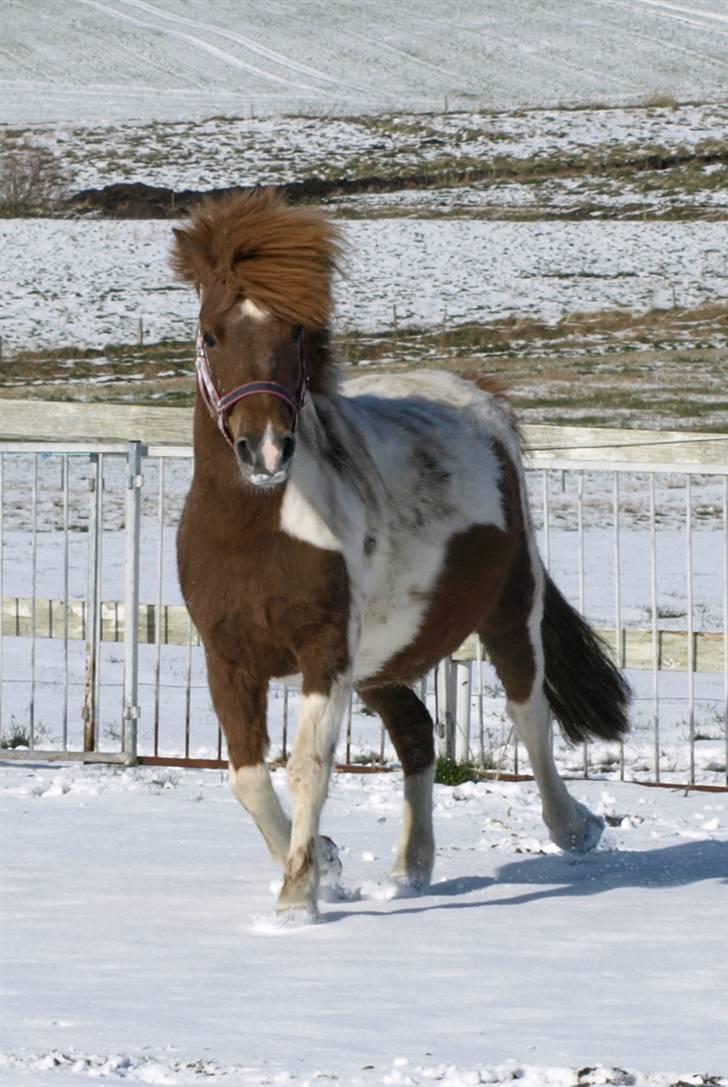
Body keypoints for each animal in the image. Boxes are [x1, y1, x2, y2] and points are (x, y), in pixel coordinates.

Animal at [172, 186, 634, 917]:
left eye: (294, 333)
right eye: (211, 333)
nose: (265, 449)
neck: (255, 534)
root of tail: (482, 400)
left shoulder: (324, 652)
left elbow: (307, 768)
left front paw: (298, 899)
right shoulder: (229, 658)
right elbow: (247, 778)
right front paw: (327, 863)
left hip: (508, 608)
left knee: (528, 713)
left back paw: (575, 828)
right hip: (385, 654)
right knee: (417, 731)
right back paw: (411, 868)